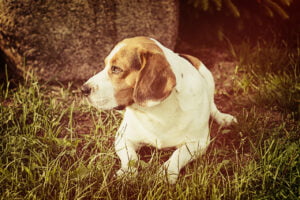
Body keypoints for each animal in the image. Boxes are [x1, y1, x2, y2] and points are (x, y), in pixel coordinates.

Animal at [81, 36, 237, 183]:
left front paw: (167, 173)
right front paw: (127, 172)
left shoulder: (198, 142)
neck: (156, 113)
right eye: (105, 65)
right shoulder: (122, 137)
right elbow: (131, 158)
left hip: (208, 76)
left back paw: (223, 118)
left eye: (116, 69)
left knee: (212, 105)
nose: (83, 89)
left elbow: (177, 154)